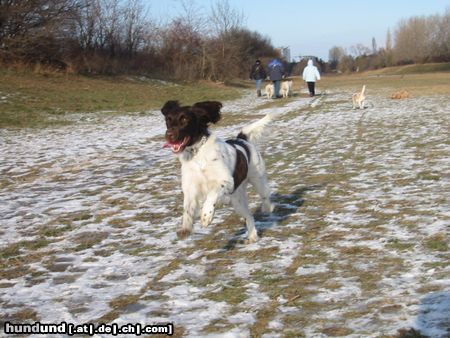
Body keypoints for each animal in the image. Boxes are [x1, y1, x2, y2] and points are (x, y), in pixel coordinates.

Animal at [162, 99, 274, 243]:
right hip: (237, 200)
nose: (169, 135)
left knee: (265, 196)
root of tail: (241, 139)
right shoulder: (190, 188)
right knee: (249, 215)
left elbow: (211, 195)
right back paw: (252, 236)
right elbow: (187, 210)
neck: (197, 153)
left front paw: (206, 215)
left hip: (258, 180)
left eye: (185, 119)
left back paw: (267, 208)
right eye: (168, 120)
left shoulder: (225, 180)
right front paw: (185, 228)